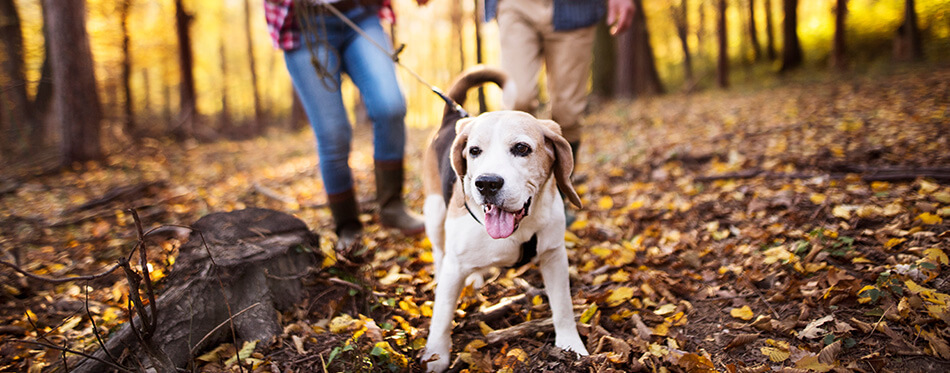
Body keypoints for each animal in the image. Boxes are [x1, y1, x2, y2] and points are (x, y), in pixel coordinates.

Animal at [422, 66, 588, 370]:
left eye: (522, 148)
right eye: (474, 151)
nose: (487, 183)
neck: (518, 229)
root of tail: (453, 116)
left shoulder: (554, 255)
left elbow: (563, 306)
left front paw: (572, 346)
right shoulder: (454, 266)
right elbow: (441, 317)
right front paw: (435, 356)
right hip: (435, 211)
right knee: (439, 252)